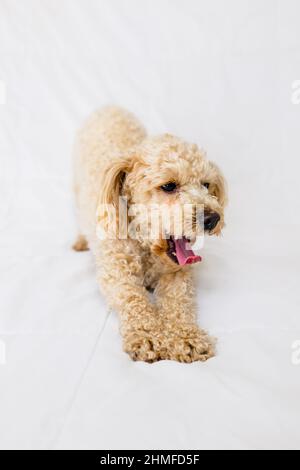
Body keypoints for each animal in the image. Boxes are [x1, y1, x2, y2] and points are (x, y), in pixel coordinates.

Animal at [73, 107, 227, 364]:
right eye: (169, 186)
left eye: (206, 184)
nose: (212, 218)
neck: (144, 246)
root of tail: (110, 107)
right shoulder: (117, 275)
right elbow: (135, 300)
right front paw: (148, 336)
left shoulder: (178, 274)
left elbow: (179, 303)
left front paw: (187, 337)